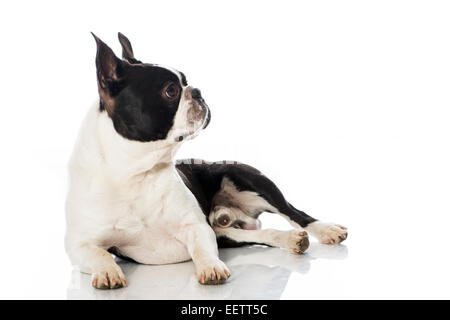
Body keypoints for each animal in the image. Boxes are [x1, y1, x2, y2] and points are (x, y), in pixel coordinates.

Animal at [66, 33, 348, 290]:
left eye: (186, 82)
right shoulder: (79, 244)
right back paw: (290, 240)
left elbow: (202, 250)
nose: (198, 92)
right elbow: (100, 254)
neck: (134, 171)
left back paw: (326, 230)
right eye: (171, 90)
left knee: (294, 213)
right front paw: (107, 271)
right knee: (256, 233)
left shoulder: (197, 227)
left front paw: (211, 267)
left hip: (246, 176)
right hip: (226, 232)